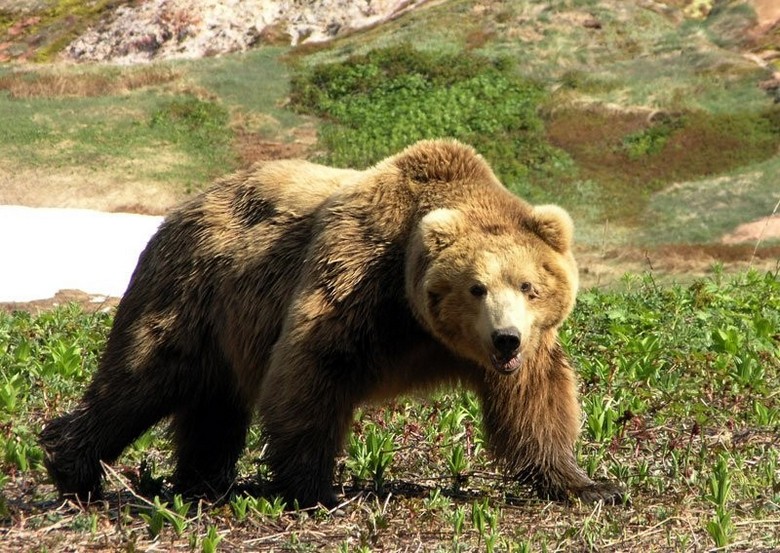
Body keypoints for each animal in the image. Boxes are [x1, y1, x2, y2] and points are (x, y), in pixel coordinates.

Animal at [39, 138, 624, 504]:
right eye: (475, 287)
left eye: (529, 286)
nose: (505, 339)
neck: (418, 322)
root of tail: (181, 207)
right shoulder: (357, 281)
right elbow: (311, 372)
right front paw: (314, 489)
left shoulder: (520, 348)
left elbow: (536, 403)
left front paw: (588, 484)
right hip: (192, 293)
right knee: (141, 376)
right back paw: (73, 464)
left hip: (227, 326)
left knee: (212, 403)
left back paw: (202, 480)